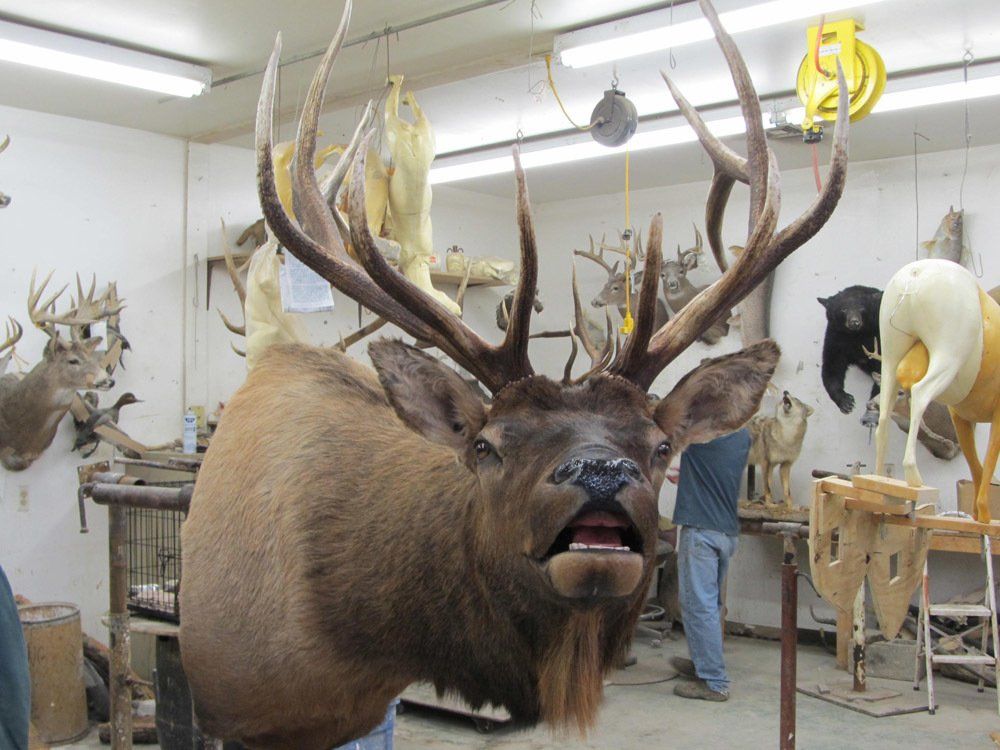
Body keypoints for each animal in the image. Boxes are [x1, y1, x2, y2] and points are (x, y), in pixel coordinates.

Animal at [874, 259, 1000, 522]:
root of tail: (915, 274)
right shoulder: (996, 415)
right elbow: (988, 461)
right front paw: (984, 516)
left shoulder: (960, 416)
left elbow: (976, 465)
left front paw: (977, 515)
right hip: (947, 356)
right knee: (921, 392)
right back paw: (913, 477)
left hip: (891, 354)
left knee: (883, 416)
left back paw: (878, 483)